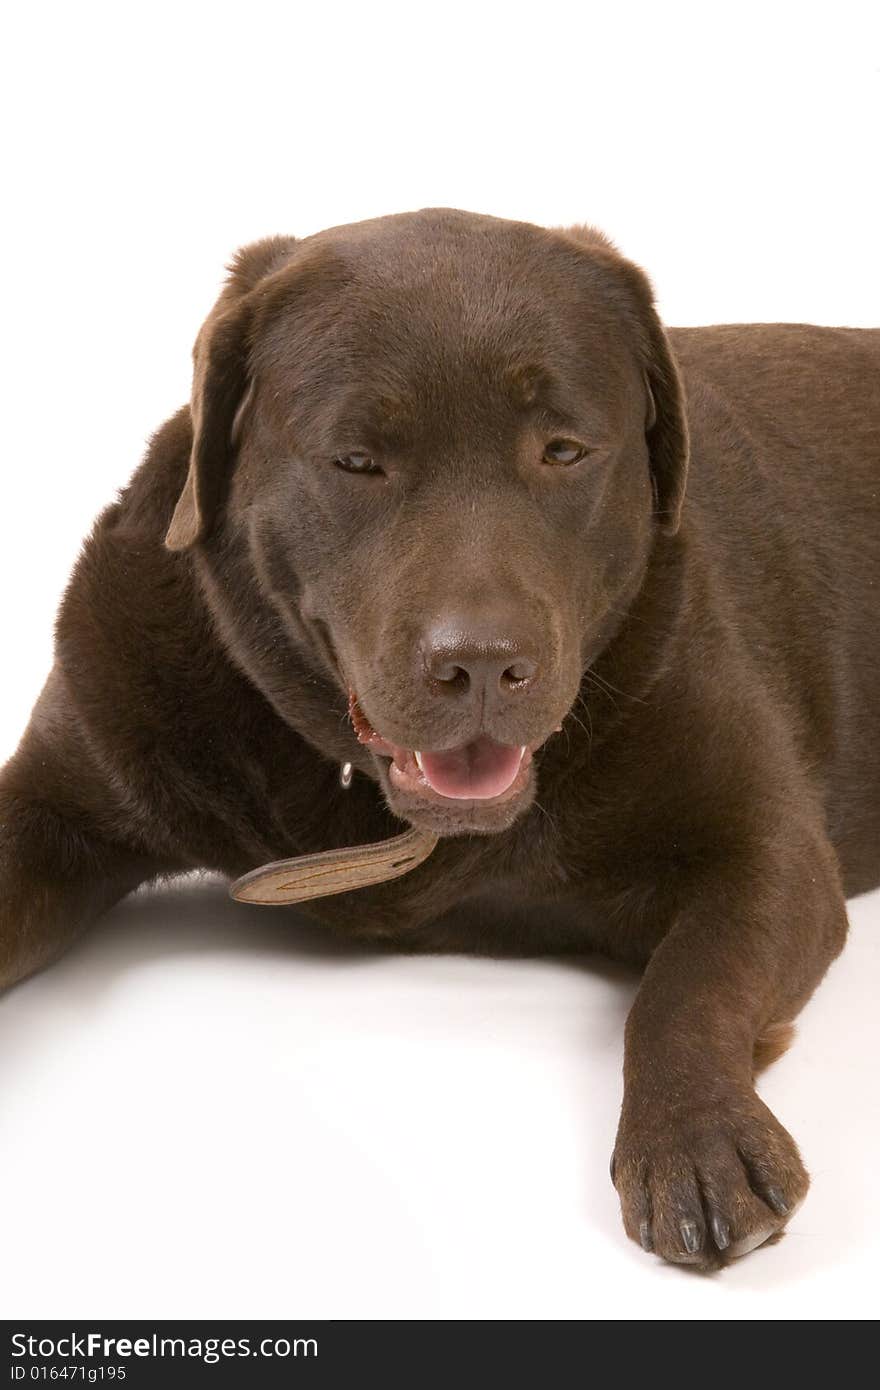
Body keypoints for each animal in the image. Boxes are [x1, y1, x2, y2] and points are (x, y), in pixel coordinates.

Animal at [3, 208, 873, 1273]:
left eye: (562, 451)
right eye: (357, 460)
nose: (483, 665)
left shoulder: (766, 848)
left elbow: (687, 984)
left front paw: (698, 1138)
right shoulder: (62, 782)